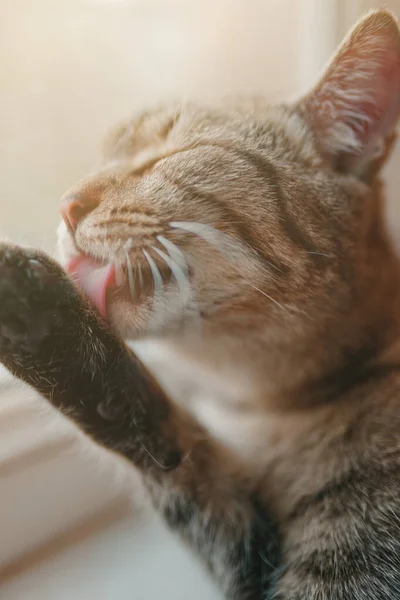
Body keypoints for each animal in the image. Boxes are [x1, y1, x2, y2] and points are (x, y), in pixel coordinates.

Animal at [0, 9, 400, 600]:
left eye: (167, 156)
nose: (66, 205)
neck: (264, 404)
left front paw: (41, 308)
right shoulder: (245, 546)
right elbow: (163, 440)